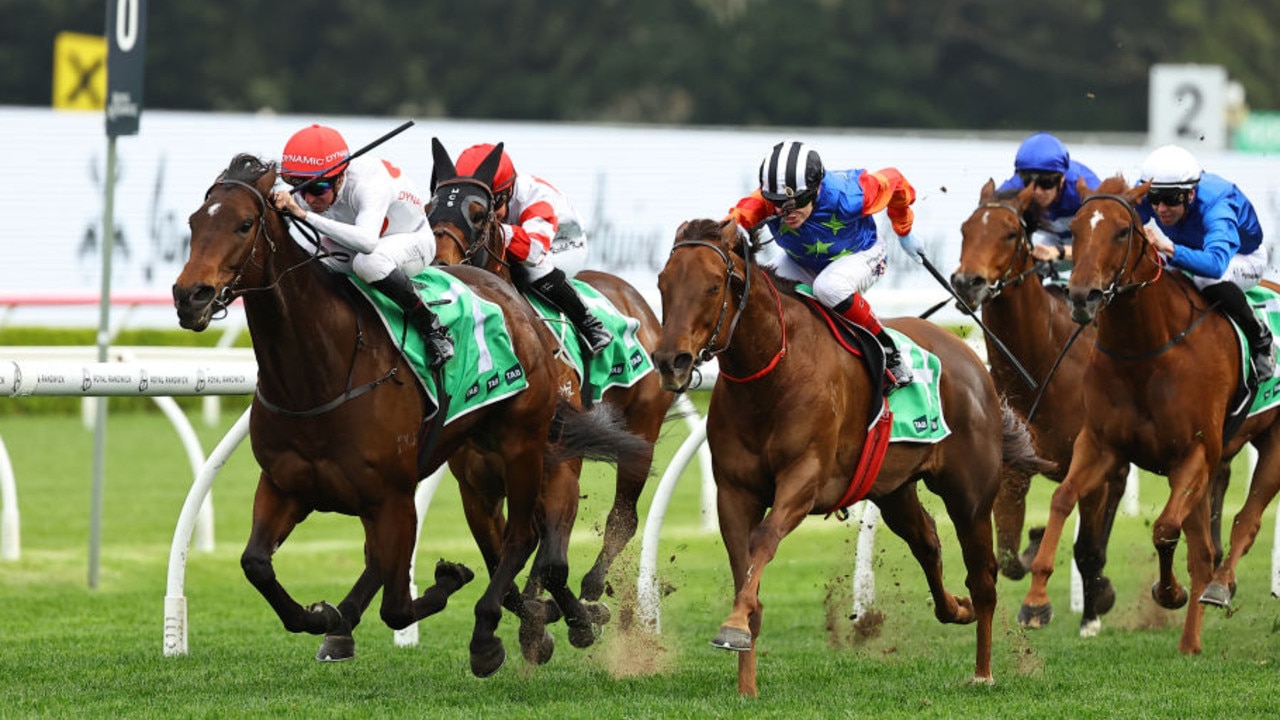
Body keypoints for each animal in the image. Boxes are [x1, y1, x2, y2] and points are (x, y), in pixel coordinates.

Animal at [174, 154, 645, 676]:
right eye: (194, 222)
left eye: (244, 224)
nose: (189, 296)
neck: (322, 373)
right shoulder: (284, 484)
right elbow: (257, 565)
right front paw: (324, 616)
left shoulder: (394, 498)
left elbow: (398, 606)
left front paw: (455, 586)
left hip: (526, 445)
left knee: (525, 536)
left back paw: (498, 631)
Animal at [424, 139, 675, 604]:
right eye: (430, 209)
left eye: (478, 213)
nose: (442, 266)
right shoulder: (477, 487)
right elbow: (505, 562)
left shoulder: (559, 466)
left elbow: (550, 559)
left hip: (642, 433)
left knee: (623, 518)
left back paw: (594, 584)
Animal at [650, 220, 1049, 696]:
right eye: (663, 283)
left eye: (713, 286)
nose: (670, 361)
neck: (773, 371)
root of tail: (968, 355)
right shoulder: (734, 490)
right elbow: (745, 567)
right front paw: (746, 676)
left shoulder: (805, 478)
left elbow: (764, 539)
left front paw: (732, 628)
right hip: (893, 489)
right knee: (927, 541)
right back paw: (957, 607)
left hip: (969, 494)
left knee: (983, 577)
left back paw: (983, 670)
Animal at [1013, 174, 1280, 650]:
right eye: (1074, 229)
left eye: (1123, 231)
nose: (1082, 296)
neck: (1147, 352)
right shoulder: (1100, 444)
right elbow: (1063, 499)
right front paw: (1036, 601)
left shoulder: (1194, 454)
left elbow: (1165, 528)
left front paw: (1169, 592)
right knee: (1206, 549)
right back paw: (1191, 642)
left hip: (1271, 443)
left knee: (1244, 524)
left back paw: (1219, 586)